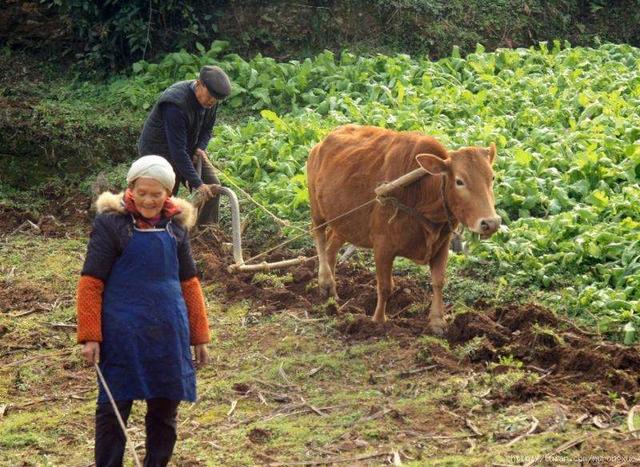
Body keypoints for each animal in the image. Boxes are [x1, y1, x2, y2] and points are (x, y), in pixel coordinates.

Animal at [308, 126, 502, 334]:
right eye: (459, 181)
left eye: (492, 177)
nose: (490, 223)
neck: (422, 193)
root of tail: (322, 143)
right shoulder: (382, 247)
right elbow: (385, 286)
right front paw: (378, 321)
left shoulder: (442, 244)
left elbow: (438, 282)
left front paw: (437, 321)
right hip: (317, 211)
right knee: (319, 237)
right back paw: (325, 280)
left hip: (344, 223)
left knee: (331, 248)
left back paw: (331, 292)